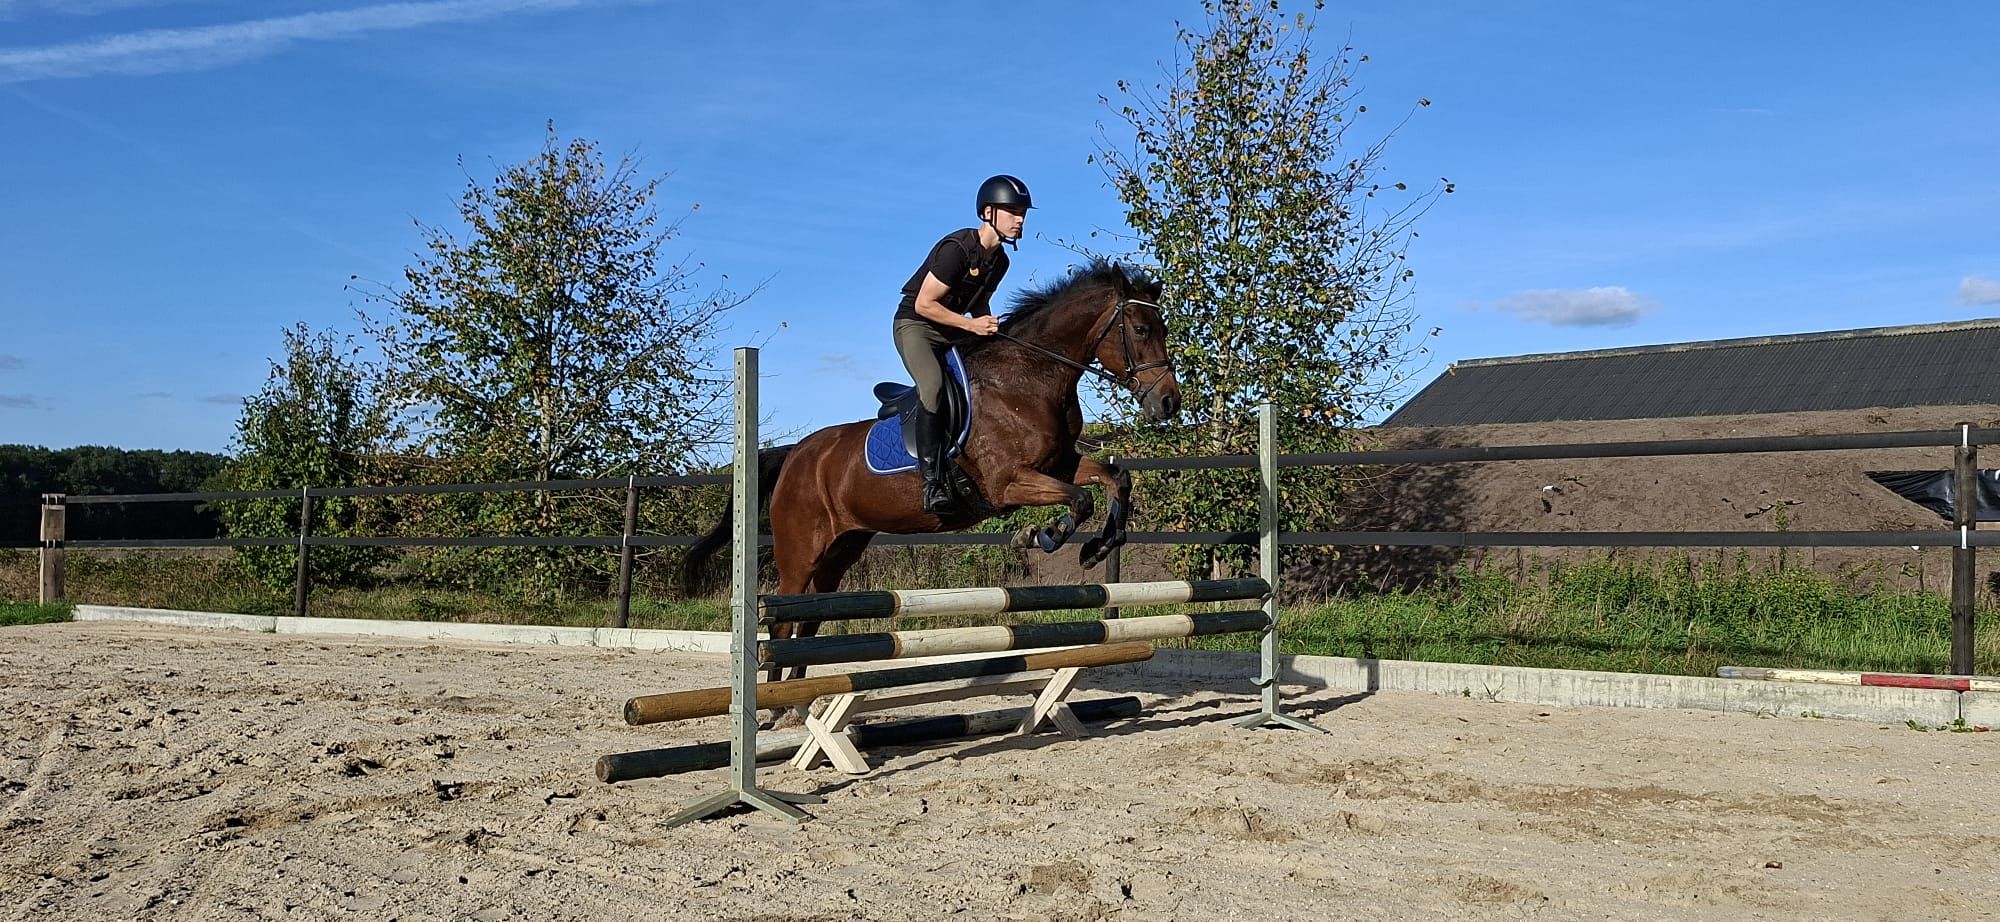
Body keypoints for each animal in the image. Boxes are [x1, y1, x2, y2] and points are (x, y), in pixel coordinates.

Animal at [683, 260, 1183, 688]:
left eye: (1163, 329)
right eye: (1141, 329)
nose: (1168, 403)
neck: (1029, 379)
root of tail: (794, 455)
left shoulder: (1060, 464)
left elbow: (1115, 480)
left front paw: (1098, 547)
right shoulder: (1008, 483)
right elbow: (1080, 499)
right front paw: (1042, 537)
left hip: (842, 549)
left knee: (811, 617)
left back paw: (795, 699)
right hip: (800, 550)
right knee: (784, 620)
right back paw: (773, 703)